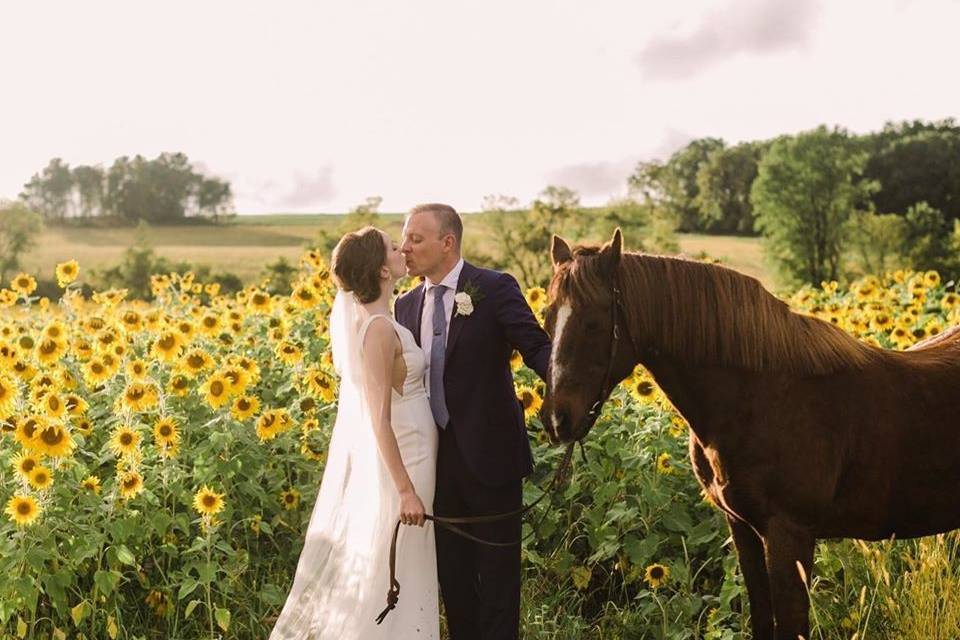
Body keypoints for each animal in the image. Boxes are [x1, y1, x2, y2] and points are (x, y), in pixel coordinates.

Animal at [540, 230, 960, 640]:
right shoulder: (744, 530)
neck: (761, 396)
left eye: (594, 324)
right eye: (547, 317)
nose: (557, 419)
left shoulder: (789, 537)